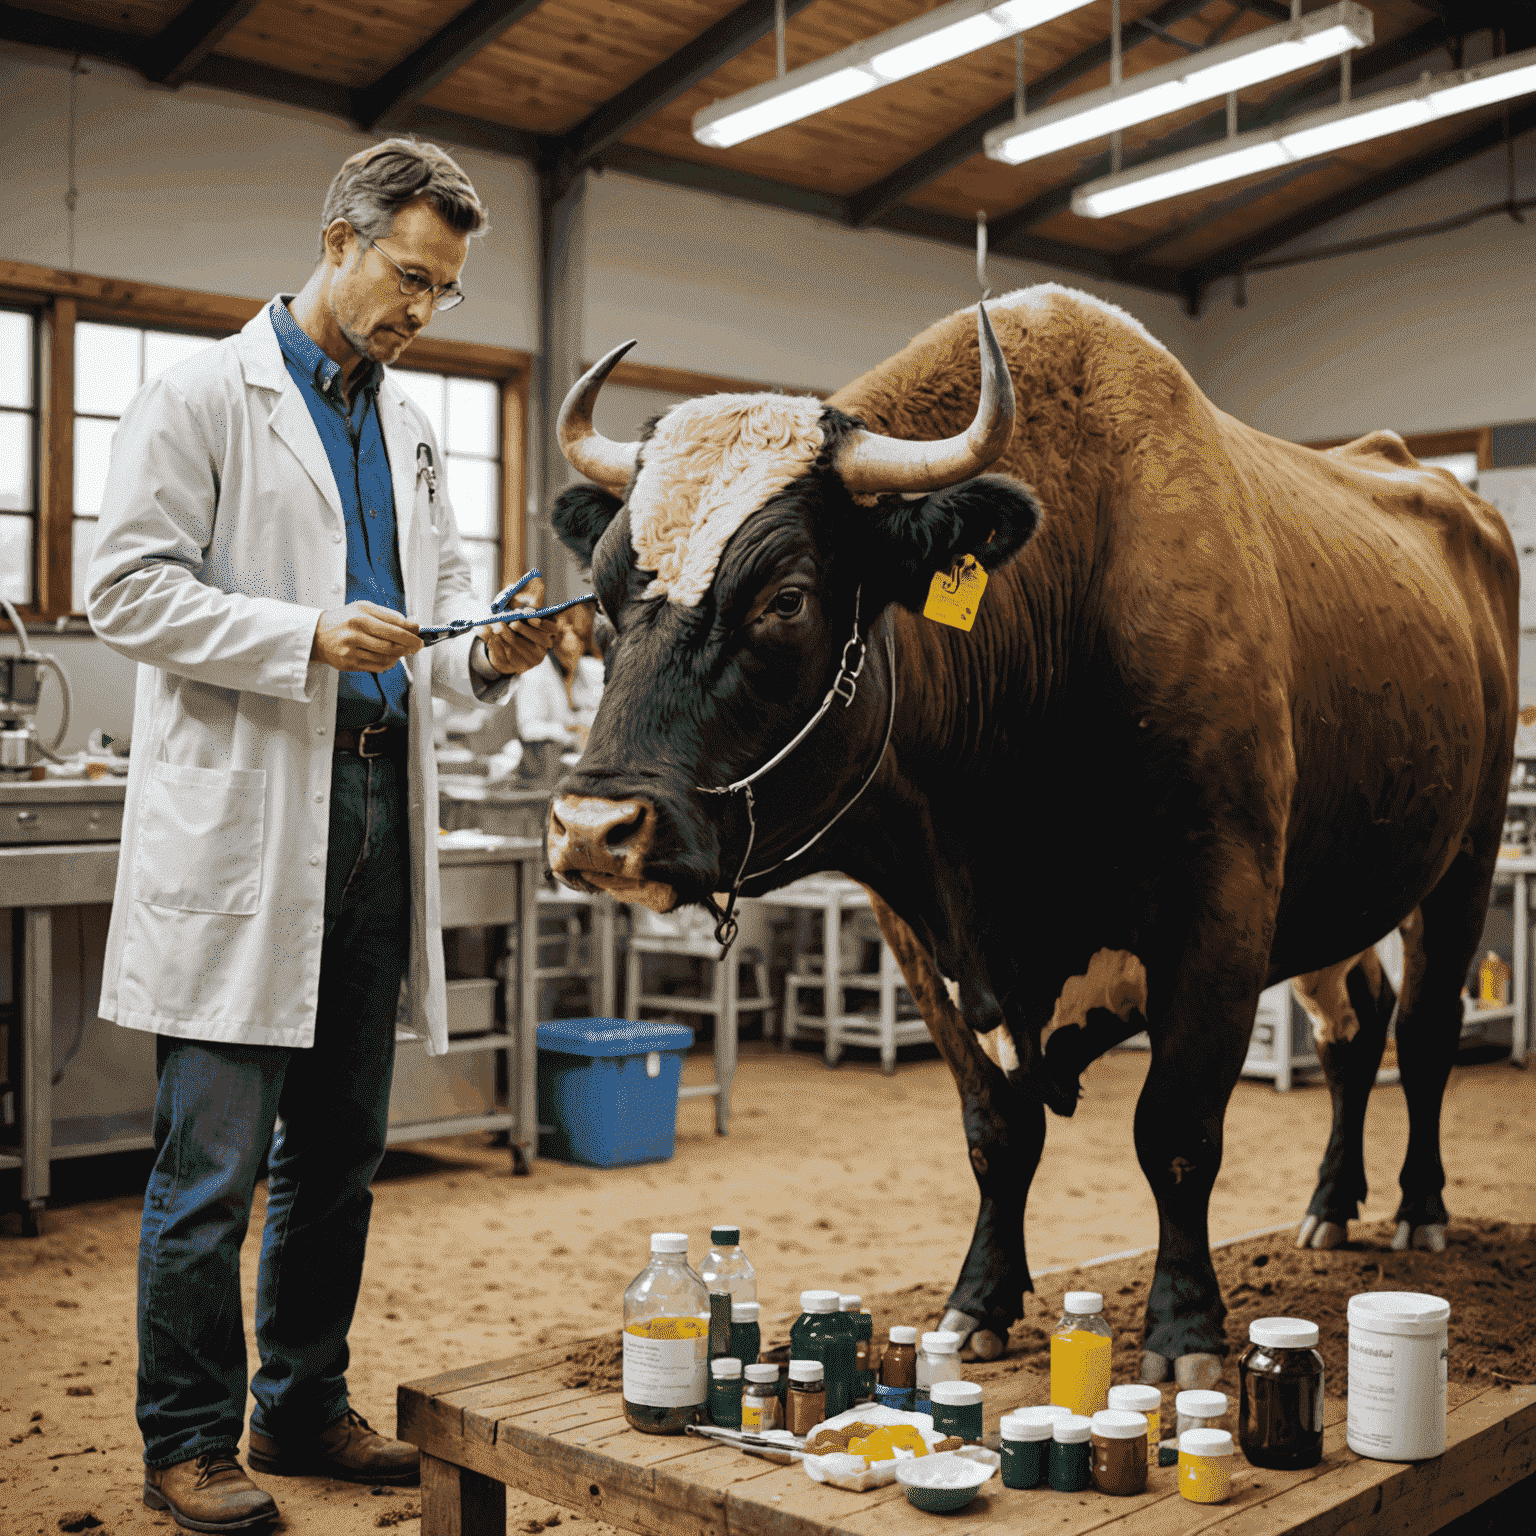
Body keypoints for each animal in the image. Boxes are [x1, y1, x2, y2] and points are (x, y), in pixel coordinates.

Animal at [537, 285, 1511, 1382]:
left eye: (786, 597)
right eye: (605, 593)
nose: (593, 827)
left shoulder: (1222, 903)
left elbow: (1176, 1132)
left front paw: (1184, 1328)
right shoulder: (922, 931)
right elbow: (996, 1134)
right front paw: (980, 1302)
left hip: (1463, 860)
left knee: (1424, 1032)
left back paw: (1420, 1209)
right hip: (1337, 891)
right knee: (1356, 1029)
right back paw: (1333, 1205)